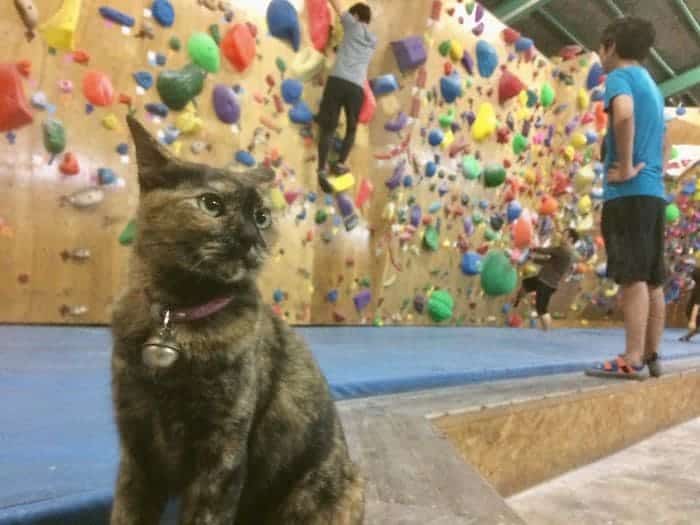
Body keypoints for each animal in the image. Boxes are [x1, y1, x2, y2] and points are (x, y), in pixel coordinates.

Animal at [111, 115, 364, 524]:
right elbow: (126, 513)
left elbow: (207, 516)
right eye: (211, 203)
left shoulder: (222, 455)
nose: (250, 238)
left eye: (262, 217)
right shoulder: (137, 446)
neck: (177, 318)